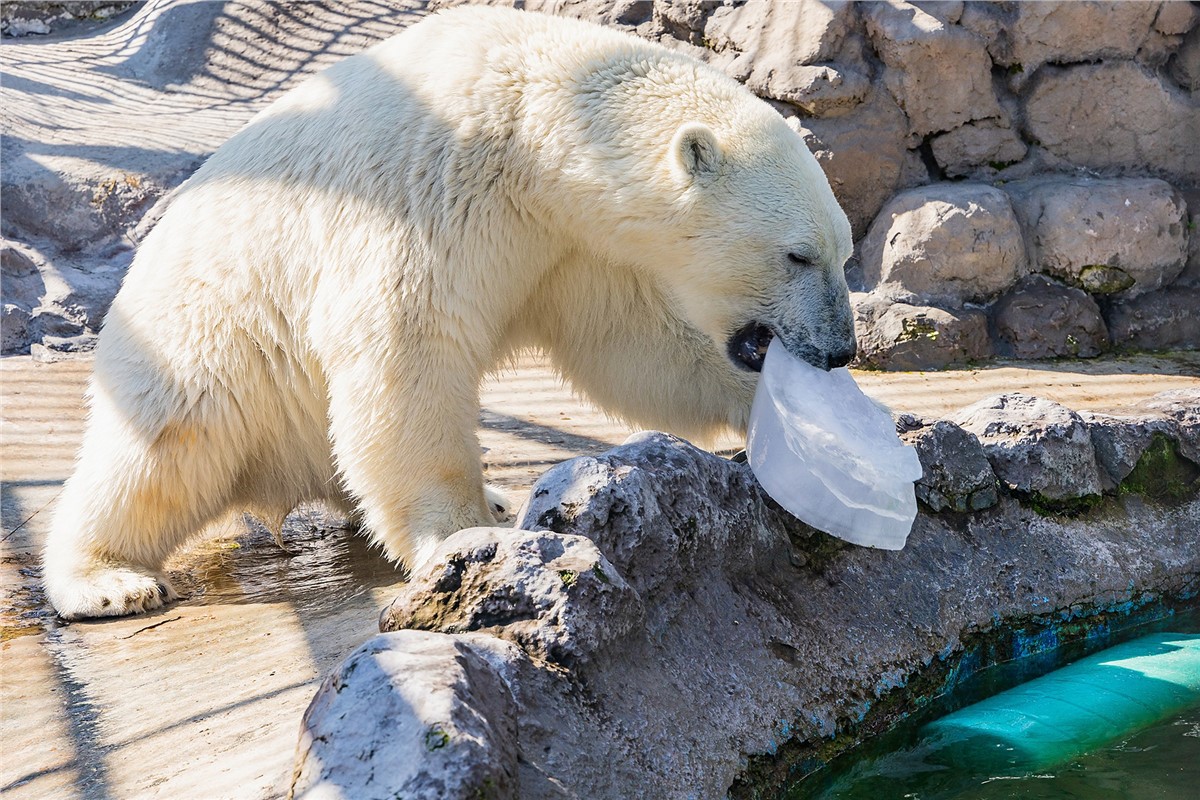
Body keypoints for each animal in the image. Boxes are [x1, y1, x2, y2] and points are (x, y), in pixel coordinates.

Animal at [44, 3, 854, 623]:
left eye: (844, 252)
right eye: (797, 256)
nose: (842, 348)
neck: (535, 125)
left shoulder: (569, 246)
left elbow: (631, 345)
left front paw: (805, 427)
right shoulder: (429, 191)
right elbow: (407, 351)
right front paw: (462, 539)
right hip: (205, 339)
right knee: (161, 455)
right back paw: (109, 579)